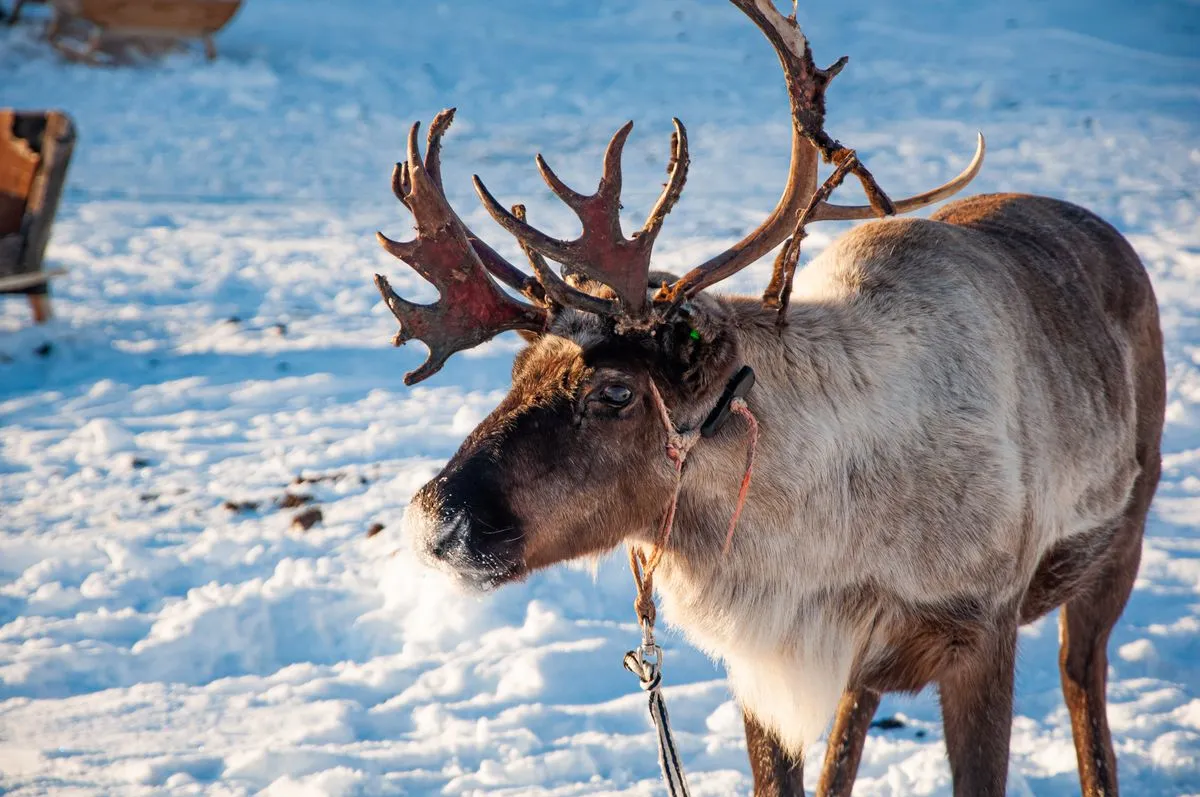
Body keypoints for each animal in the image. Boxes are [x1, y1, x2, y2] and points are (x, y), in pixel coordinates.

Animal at [372, 1, 1165, 794]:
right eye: (517, 369)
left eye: (617, 390)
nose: (431, 521)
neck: (824, 537)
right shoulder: (764, 670)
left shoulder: (983, 634)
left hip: (1120, 542)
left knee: (1081, 679)